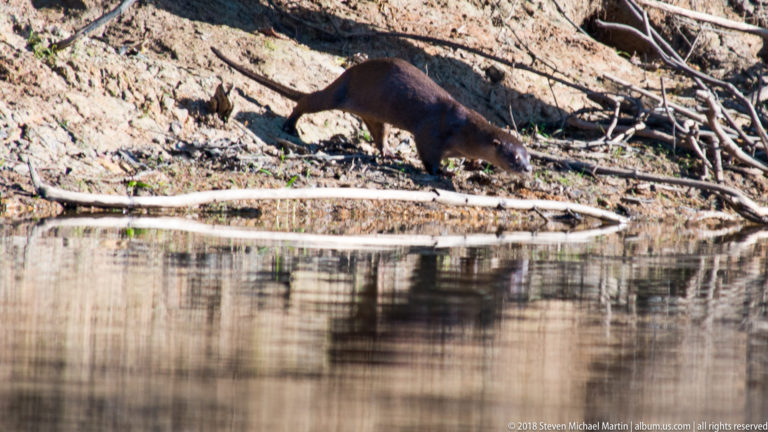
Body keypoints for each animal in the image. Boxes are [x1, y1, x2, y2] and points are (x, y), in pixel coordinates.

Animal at [211, 47, 531, 175]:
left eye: (527, 155)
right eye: (514, 157)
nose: (527, 169)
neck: (464, 129)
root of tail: (348, 72)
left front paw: (473, 164)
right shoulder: (432, 131)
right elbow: (428, 154)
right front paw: (440, 173)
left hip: (374, 113)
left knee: (378, 133)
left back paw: (386, 152)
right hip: (339, 94)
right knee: (307, 101)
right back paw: (290, 126)